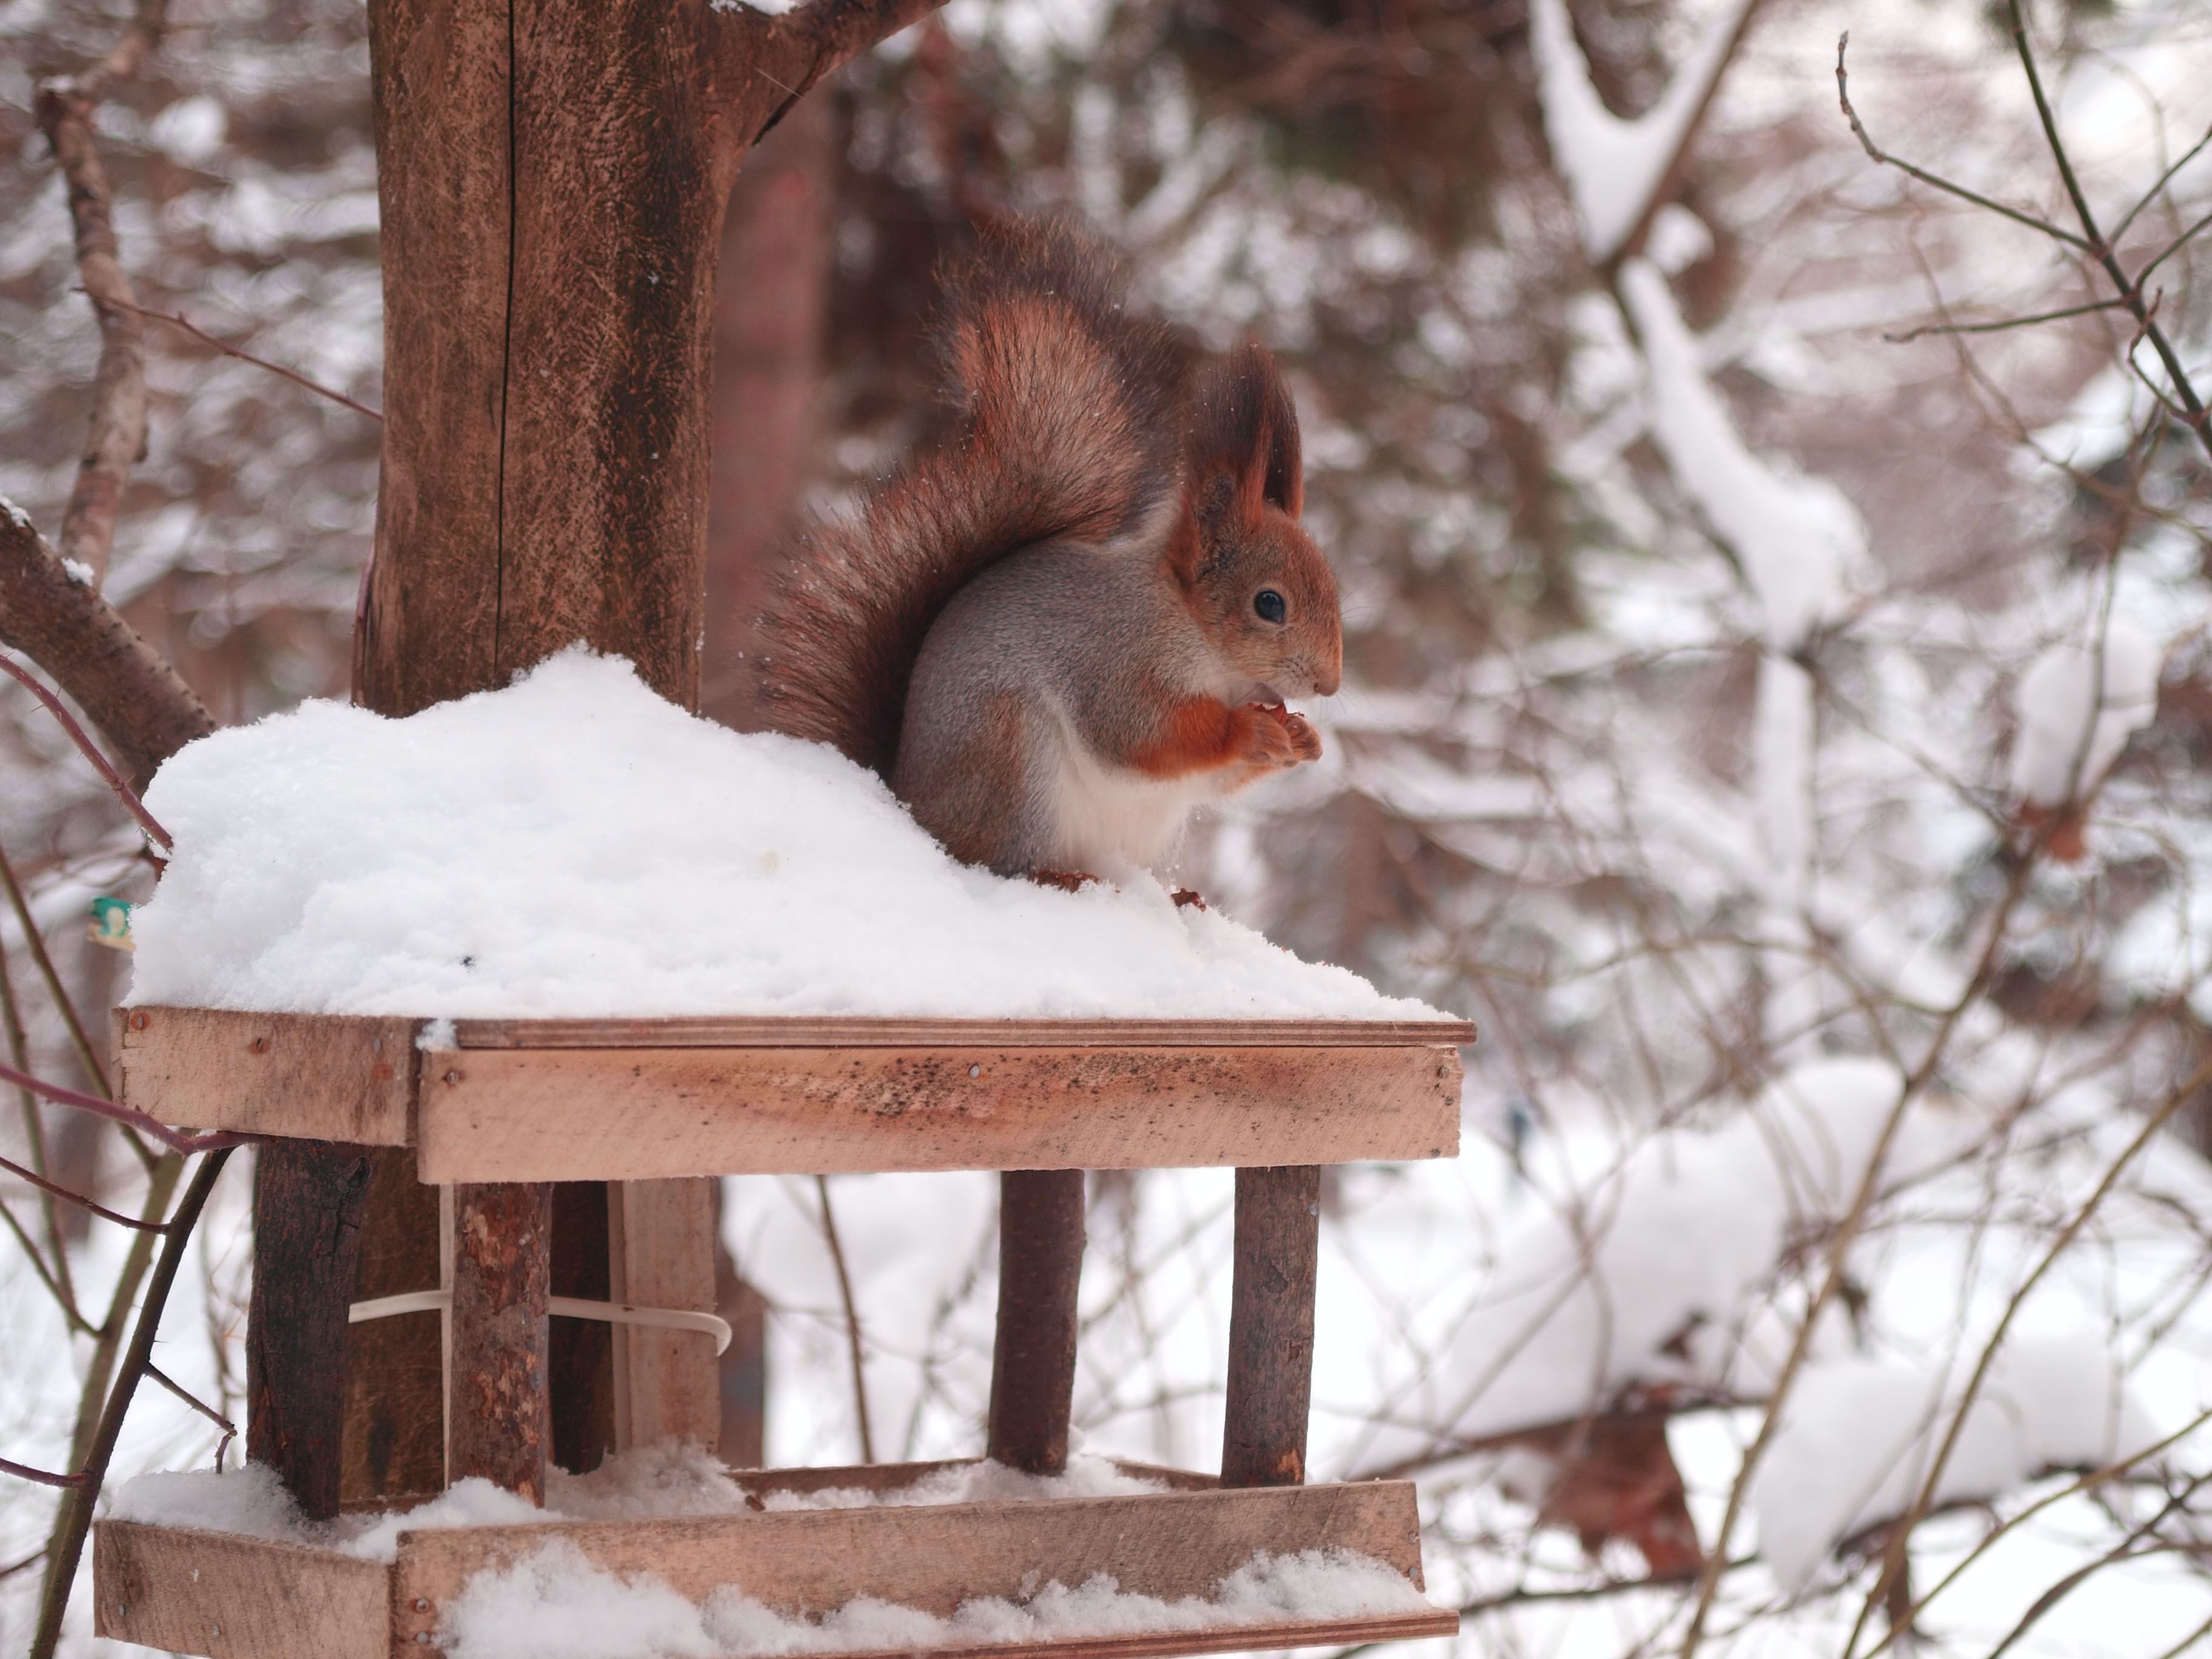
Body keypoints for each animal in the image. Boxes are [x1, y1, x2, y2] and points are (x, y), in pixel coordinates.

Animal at [769, 227, 1336, 889]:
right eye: (1269, 604)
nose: (1328, 684)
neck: (1198, 636)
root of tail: (909, 801)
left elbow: (1214, 777)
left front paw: (1300, 737)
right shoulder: (1110, 657)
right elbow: (1140, 732)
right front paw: (1249, 728)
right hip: (1010, 756)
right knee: (991, 859)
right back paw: (1055, 878)